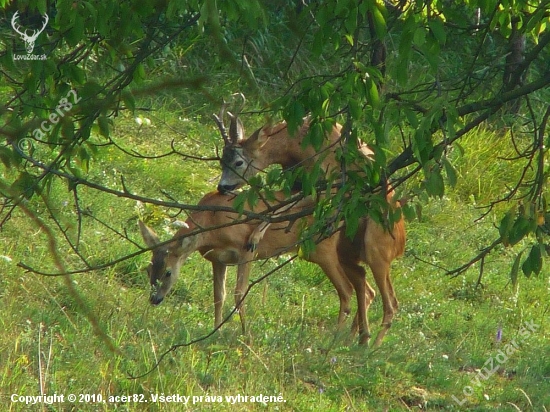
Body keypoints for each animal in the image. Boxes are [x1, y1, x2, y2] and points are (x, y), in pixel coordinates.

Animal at [216, 98, 406, 346]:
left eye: (239, 162)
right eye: (221, 160)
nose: (222, 187)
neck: (296, 146)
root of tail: (401, 243)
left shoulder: (329, 183)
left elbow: (288, 206)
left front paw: (255, 236)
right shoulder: (297, 180)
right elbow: (286, 202)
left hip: (377, 248)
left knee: (391, 302)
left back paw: (370, 347)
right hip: (350, 250)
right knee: (367, 288)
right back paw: (358, 339)